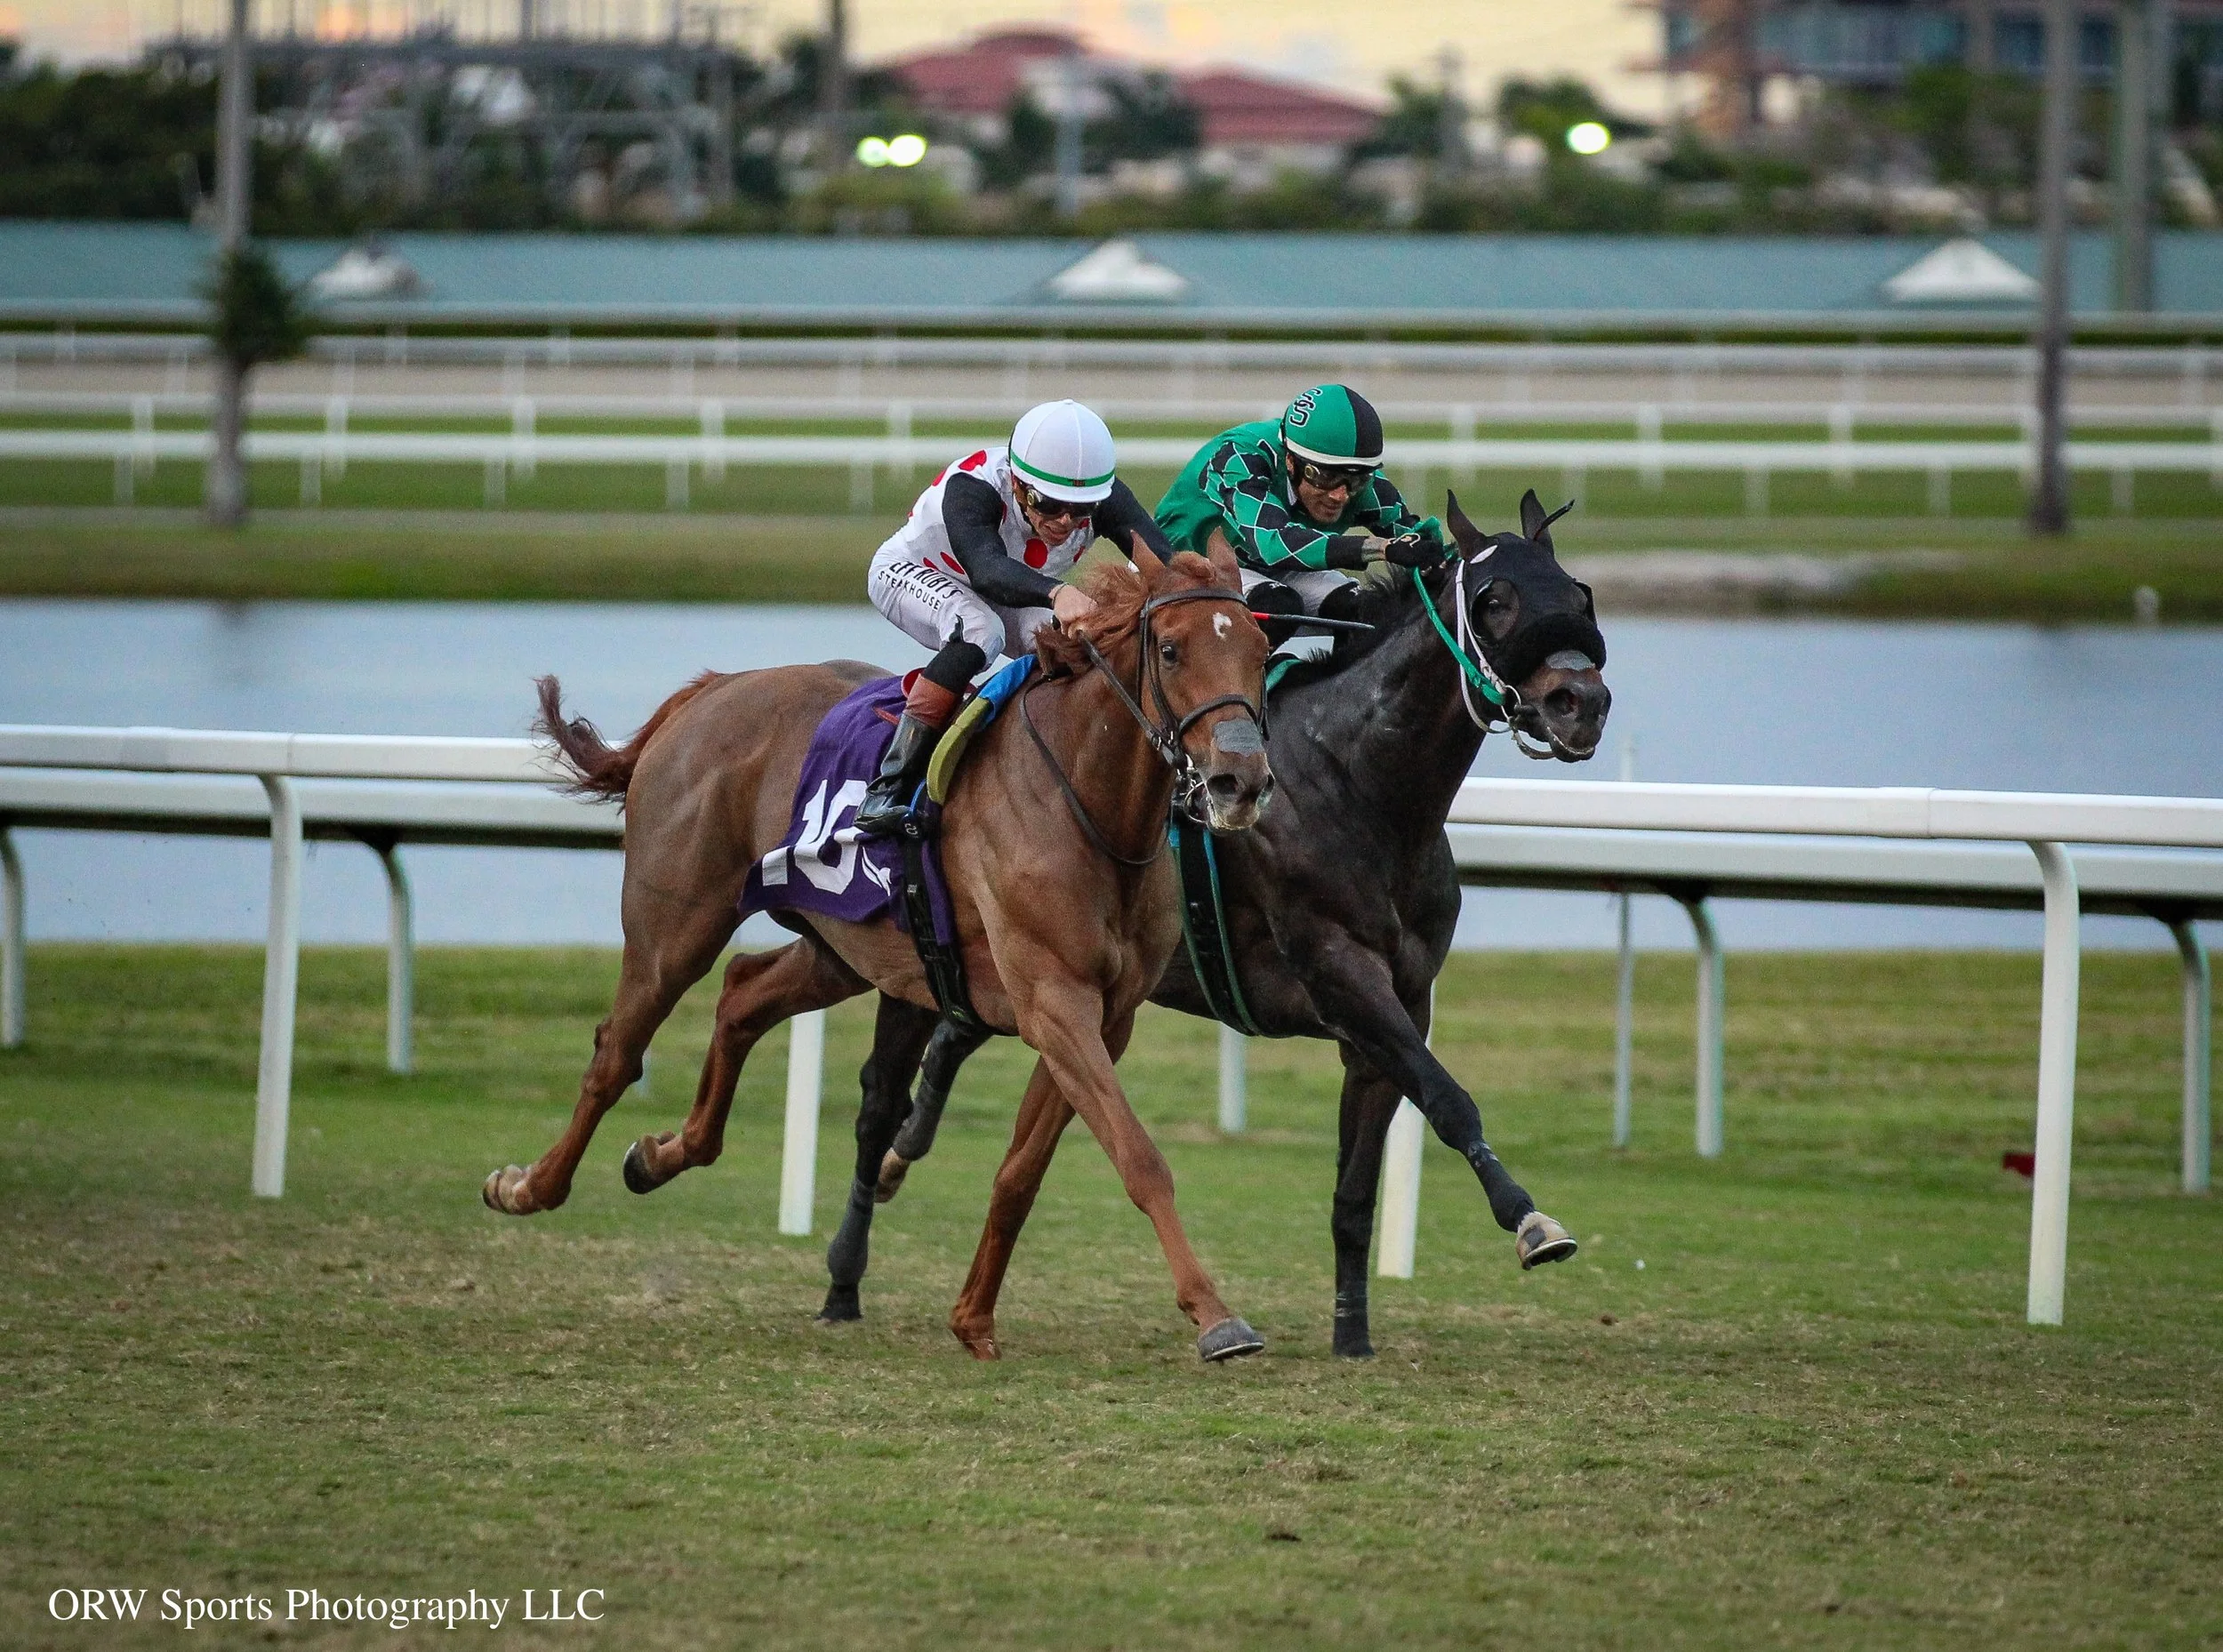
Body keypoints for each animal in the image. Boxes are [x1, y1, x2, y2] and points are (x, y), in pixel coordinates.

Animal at [480, 538, 1280, 1363]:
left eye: (1260, 651)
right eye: (1171, 648)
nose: (1240, 781)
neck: (1085, 801)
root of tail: (713, 690)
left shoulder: (1105, 1018)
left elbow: (1020, 1172)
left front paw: (973, 1316)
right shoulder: (1055, 1004)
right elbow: (1140, 1158)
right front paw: (1217, 1318)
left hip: (844, 948)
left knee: (741, 995)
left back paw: (660, 1155)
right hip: (674, 926)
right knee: (617, 1051)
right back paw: (527, 1187)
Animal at [829, 491, 1612, 1358]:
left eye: (1578, 595)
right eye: (1496, 601)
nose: (1581, 703)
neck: (1358, 784)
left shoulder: (1398, 1003)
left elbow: (1357, 1187)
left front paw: (1352, 1333)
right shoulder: (1342, 973)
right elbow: (1447, 1097)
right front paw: (1531, 1220)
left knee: (949, 1044)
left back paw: (907, 1152)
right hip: (914, 960)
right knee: (875, 1104)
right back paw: (844, 1278)